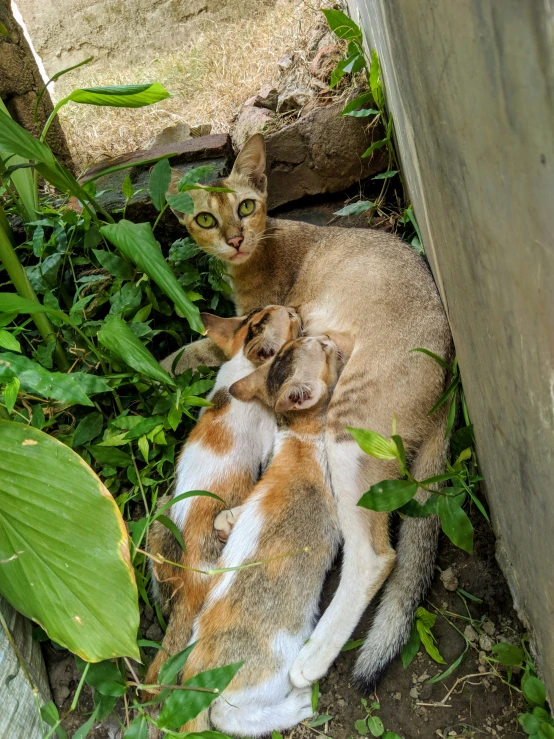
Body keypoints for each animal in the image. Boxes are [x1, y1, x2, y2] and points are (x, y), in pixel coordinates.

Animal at [142, 304, 298, 688]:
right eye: (287, 319)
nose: (292, 308)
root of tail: (189, 577)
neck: (241, 362)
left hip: (159, 522)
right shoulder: (268, 435)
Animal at [161, 136, 452, 692]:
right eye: (206, 219)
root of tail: (450, 377)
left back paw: (310, 660)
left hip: (350, 427)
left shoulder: (259, 322)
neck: (262, 246)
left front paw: (149, 365)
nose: (234, 239)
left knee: (374, 554)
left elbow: (198, 347)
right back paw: (231, 518)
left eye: (245, 207)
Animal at [177, 334, 350, 736]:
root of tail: (195, 673)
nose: (328, 337)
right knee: (229, 717)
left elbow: (232, 517)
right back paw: (298, 706)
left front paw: (227, 522)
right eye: (321, 348)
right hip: (267, 673)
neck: (298, 435)